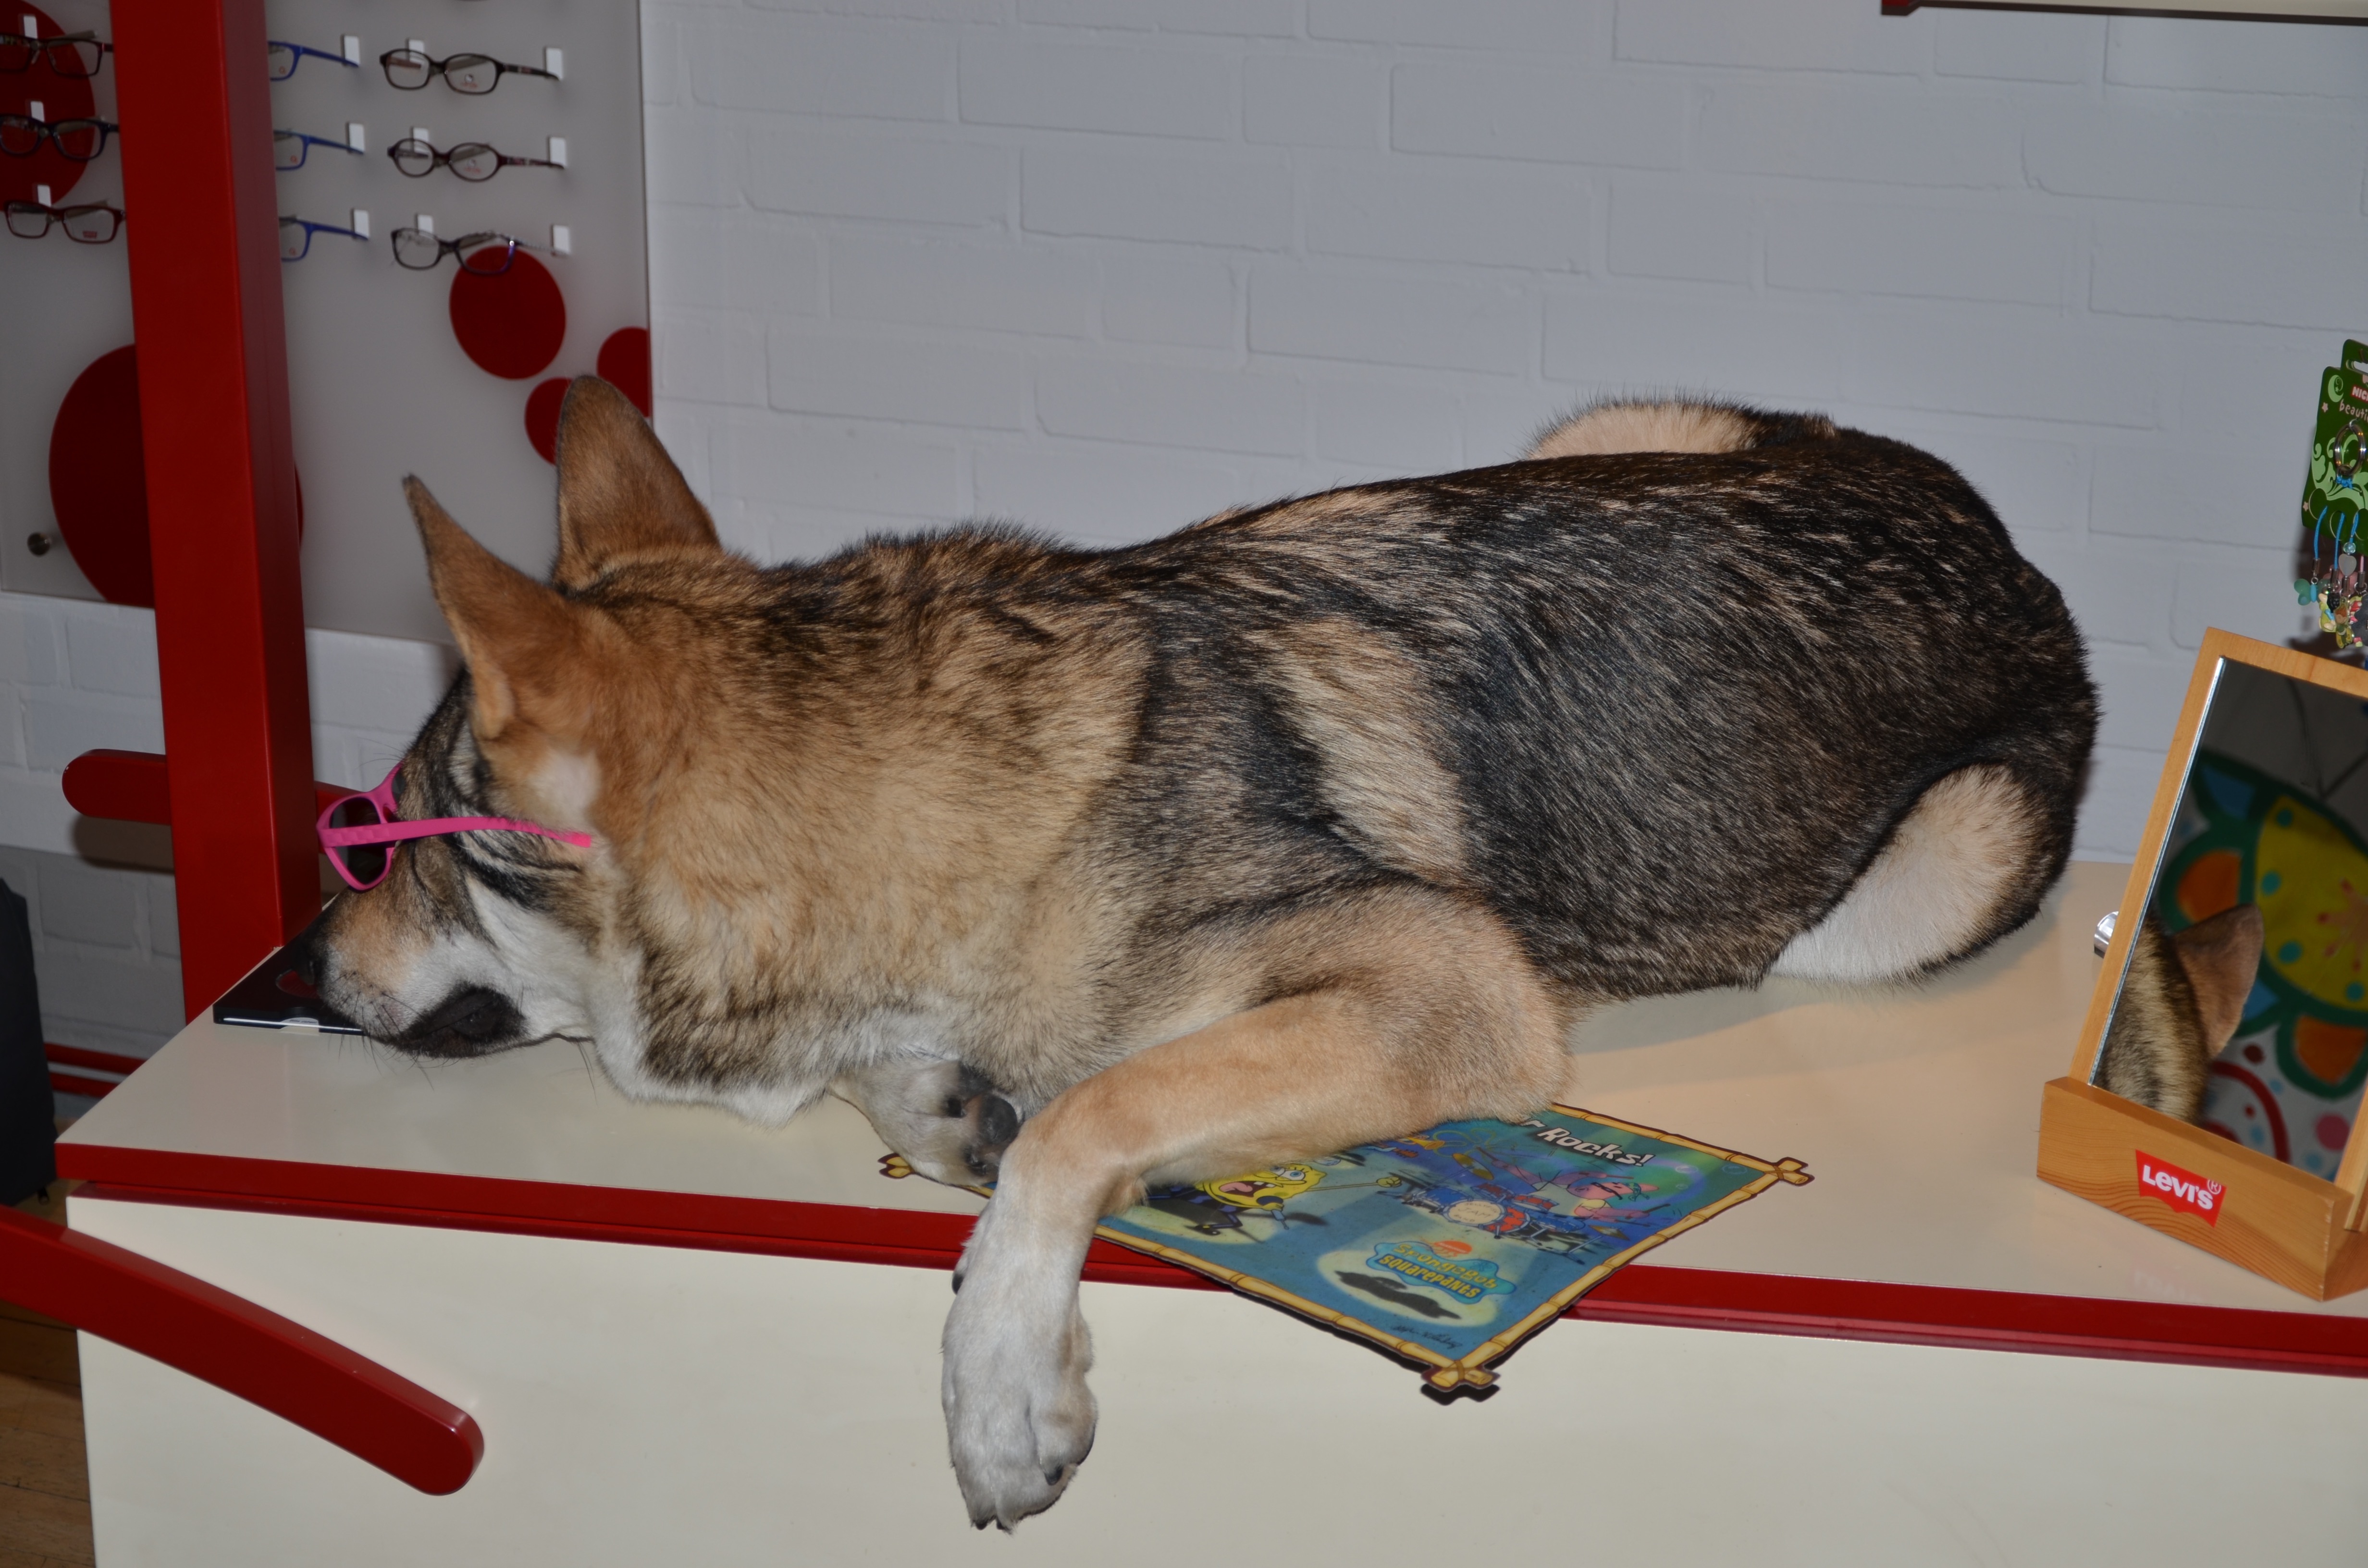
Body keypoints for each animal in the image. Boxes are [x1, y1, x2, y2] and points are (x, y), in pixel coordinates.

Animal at [298, 378, 2099, 1528]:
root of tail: (2010, 552)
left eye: (390, 834)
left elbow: (1086, 1117)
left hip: (1912, 880)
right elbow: (971, 1091)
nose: (300, 971)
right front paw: (945, 1110)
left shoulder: (1455, 984)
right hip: (1555, 447)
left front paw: (1002, 1375)